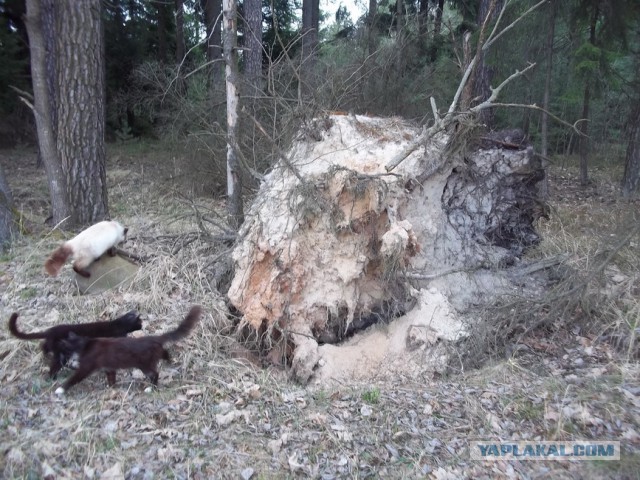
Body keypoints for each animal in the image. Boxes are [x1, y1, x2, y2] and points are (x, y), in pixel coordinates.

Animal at [9, 312, 141, 378]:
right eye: (141, 322)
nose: (142, 325)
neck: (118, 324)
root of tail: (50, 331)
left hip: (56, 349)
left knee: (44, 347)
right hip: (62, 354)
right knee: (54, 366)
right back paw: (53, 377)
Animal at [57, 304, 204, 394]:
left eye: (64, 346)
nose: (60, 346)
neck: (85, 344)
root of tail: (154, 338)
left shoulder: (87, 367)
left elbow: (74, 378)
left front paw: (61, 389)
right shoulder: (109, 368)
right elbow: (111, 378)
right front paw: (111, 387)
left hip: (144, 363)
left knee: (154, 373)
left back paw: (151, 388)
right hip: (154, 355)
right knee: (164, 354)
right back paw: (170, 361)